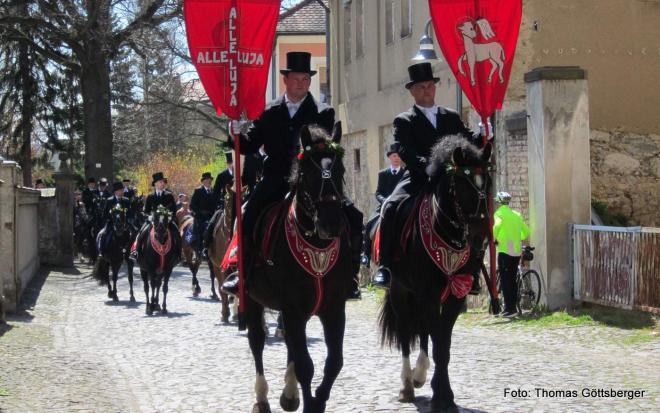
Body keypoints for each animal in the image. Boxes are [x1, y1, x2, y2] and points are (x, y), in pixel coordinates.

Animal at [244, 124, 356, 412]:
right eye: (309, 173)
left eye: (340, 169)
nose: (331, 224)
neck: (315, 242)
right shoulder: (294, 310)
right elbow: (306, 366)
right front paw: (310, 402)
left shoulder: (333, 309)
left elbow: (334, 362)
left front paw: (317, 399)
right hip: (251, 299)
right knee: (257, 342)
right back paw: (262, 398)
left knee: (289, 345)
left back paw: (290, 393)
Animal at [378, 136, 492, 412]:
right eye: (462, 186)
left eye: (488, 182)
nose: (481, 234)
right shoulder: (428, 293)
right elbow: (438, 342)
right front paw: (442, 396)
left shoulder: (456, 294)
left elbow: (443, 345)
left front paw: (443, 393)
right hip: (400, 290)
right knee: (407, 332)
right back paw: (407, 385)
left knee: (423, 330)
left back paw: (419, 374)